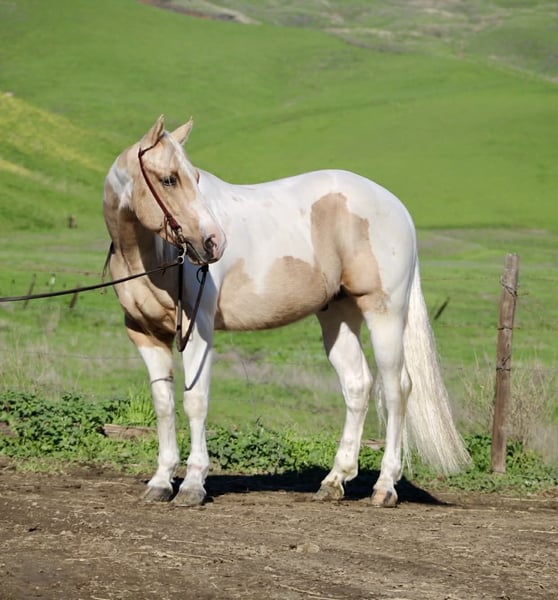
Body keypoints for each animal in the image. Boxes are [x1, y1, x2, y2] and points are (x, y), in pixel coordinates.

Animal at [104, 115, 471, 508]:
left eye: (195, 177)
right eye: (169, 179)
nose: (214, 242)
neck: (151, 256)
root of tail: (397, 206)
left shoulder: (198, 329)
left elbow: (195, 401)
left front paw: (192, 484)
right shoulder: (145, 334)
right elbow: (163, 404)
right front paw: (160, 481)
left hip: (384, 313)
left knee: (396, 388)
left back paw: (384, 486)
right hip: (337, 317)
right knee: (358, 385)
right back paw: (334, 481)